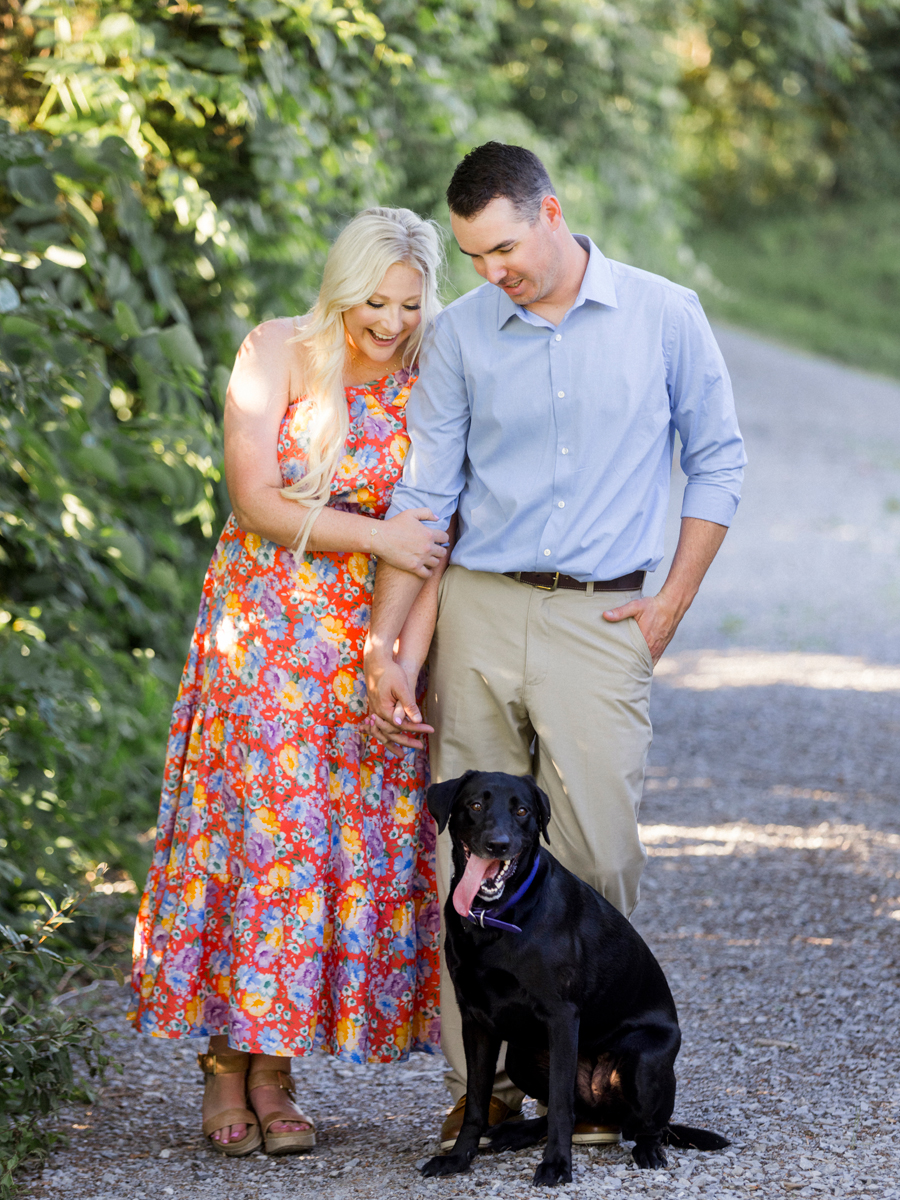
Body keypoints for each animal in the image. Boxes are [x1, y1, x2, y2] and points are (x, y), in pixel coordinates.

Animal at [420, 772, 729, 1185]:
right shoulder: (475, 1018)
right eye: (475, 805)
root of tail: (603, 1109)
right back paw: (516, 1133)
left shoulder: (562, 1017)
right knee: (567, 1110)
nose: (498, 844)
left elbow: (560, 1105)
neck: (496, 917)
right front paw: (458, 1158)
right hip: (520, 1055)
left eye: (522, 811)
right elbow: (476, 1103)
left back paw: (648, 1150)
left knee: (647, 1126)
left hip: (642, 1060)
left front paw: (556, 1165)